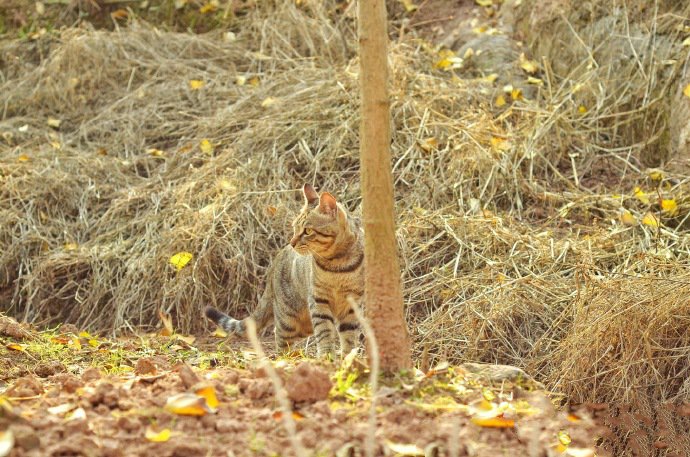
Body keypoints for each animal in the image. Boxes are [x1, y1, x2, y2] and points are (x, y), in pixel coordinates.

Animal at [203, 182, 362, 356]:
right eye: (294, 227)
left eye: (307, 231)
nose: (292, 242)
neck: (338, 264)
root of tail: (273, 266)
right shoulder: (318, 300)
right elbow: (324, 331)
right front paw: (327, 356)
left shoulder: (353, 303)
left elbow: (349, 335)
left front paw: (349, 357)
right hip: (289, 319)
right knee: (279, 337)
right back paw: (285, 359)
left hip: (303, 325)